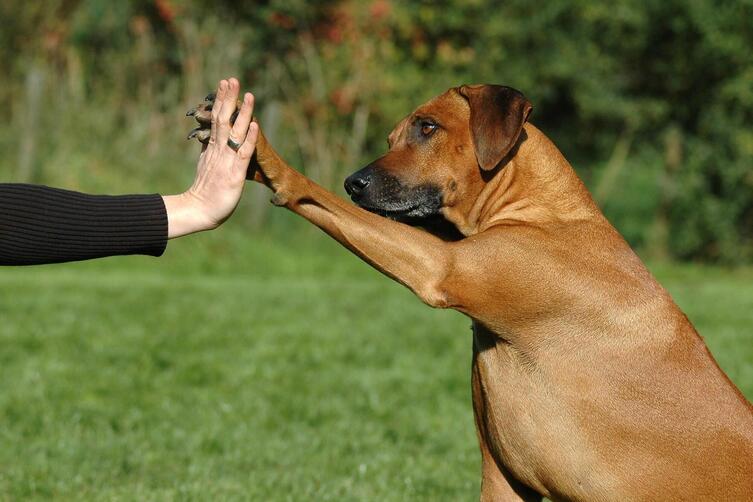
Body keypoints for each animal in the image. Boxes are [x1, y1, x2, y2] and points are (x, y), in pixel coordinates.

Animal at [188, 84, 752, 500]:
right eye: (393, 136)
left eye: (428, 127)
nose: (353, 182)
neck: (542, 211)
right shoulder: (503, 478)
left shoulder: (442, 267)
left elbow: (316, 195)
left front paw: (262, 155)